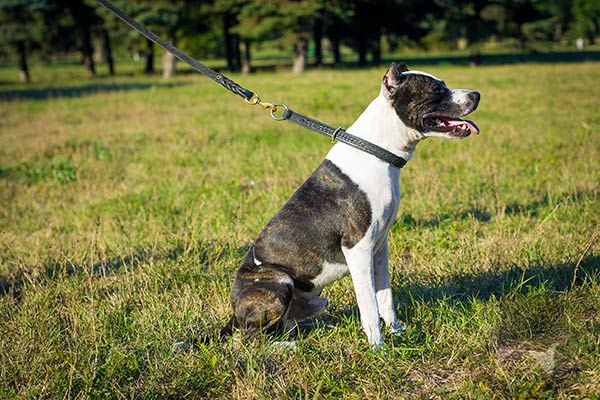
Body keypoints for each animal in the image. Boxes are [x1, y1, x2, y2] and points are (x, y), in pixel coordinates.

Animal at [219, 61, 478, 346]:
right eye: (435, 89)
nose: (476, 95)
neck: (377, 151)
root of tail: (234, 312)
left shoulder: (379, 248)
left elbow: (385, 297)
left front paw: (397, 331)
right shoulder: (358, 248)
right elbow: (369, 305)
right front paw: (379, 348)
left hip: (317, 300)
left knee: (286, 325)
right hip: (279, 280)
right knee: (251, 338)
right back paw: (287, 347)